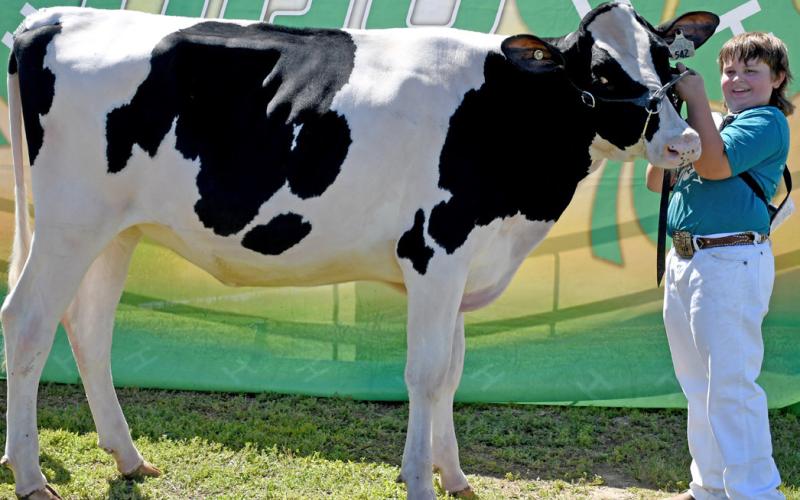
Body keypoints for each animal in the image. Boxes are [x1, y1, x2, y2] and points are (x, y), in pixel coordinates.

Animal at [1, 3, 719, 498]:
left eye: (667, 59)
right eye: (601, 69)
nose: (683, 142)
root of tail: (53, 18)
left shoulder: (464, 265)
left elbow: (452, 374)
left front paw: (455, 477)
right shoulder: (436, 250)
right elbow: (425, 374)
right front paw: (420, 480)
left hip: (117, 230)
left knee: (89, 327)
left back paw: (127, 457)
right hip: (68, 222)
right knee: (28, 323)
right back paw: (32, 473)